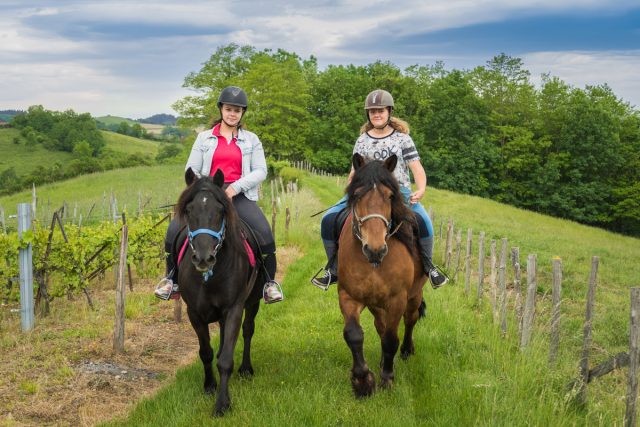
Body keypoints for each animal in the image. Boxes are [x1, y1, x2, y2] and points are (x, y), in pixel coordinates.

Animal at [174, 168, 264, 418]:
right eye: (189, 210)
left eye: (220, 210)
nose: (204, 258)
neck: (210, 276)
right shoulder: (194, 313)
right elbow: (206, 352)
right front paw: (209, 386)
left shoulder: (234, 309)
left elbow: (225, 359)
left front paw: (222, 404)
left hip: (252, 302)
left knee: (248, 331)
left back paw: (245, 369)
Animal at [338, 153, 428, 398]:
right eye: (357, 194)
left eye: (389, 196)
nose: (375, 249)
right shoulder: (349, 296)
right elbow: (354, 334)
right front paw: (363, 381)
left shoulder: (397, 299)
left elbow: (390, 339)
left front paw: (387, 379)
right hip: (375, 303)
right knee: (381, 325)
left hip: (414, 295)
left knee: (410, 319)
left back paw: (406, 350)